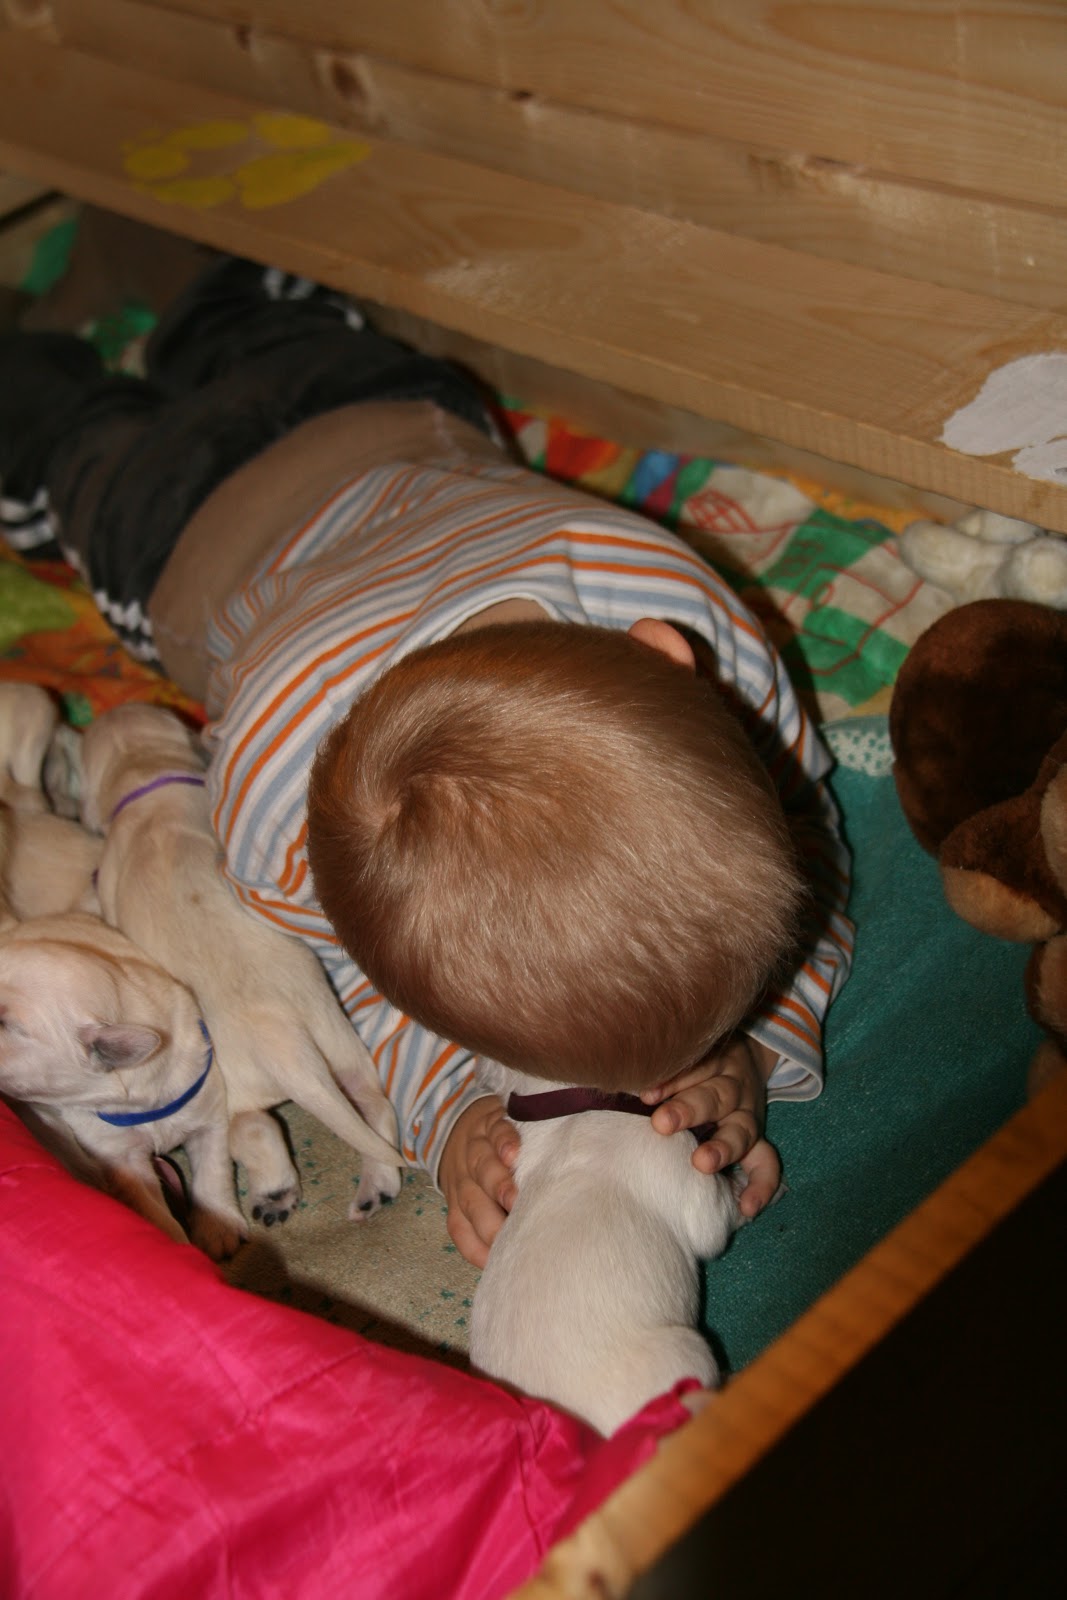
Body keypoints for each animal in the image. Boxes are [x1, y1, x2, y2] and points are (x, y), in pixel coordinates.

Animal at [71, 702, 403, 1228]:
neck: (146, 775)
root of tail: (283, 1043)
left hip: (227, 1084)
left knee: (251, 1128)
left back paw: (276, 1195)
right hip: (339, 1042)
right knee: (373, 1107)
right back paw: (376, 1185)